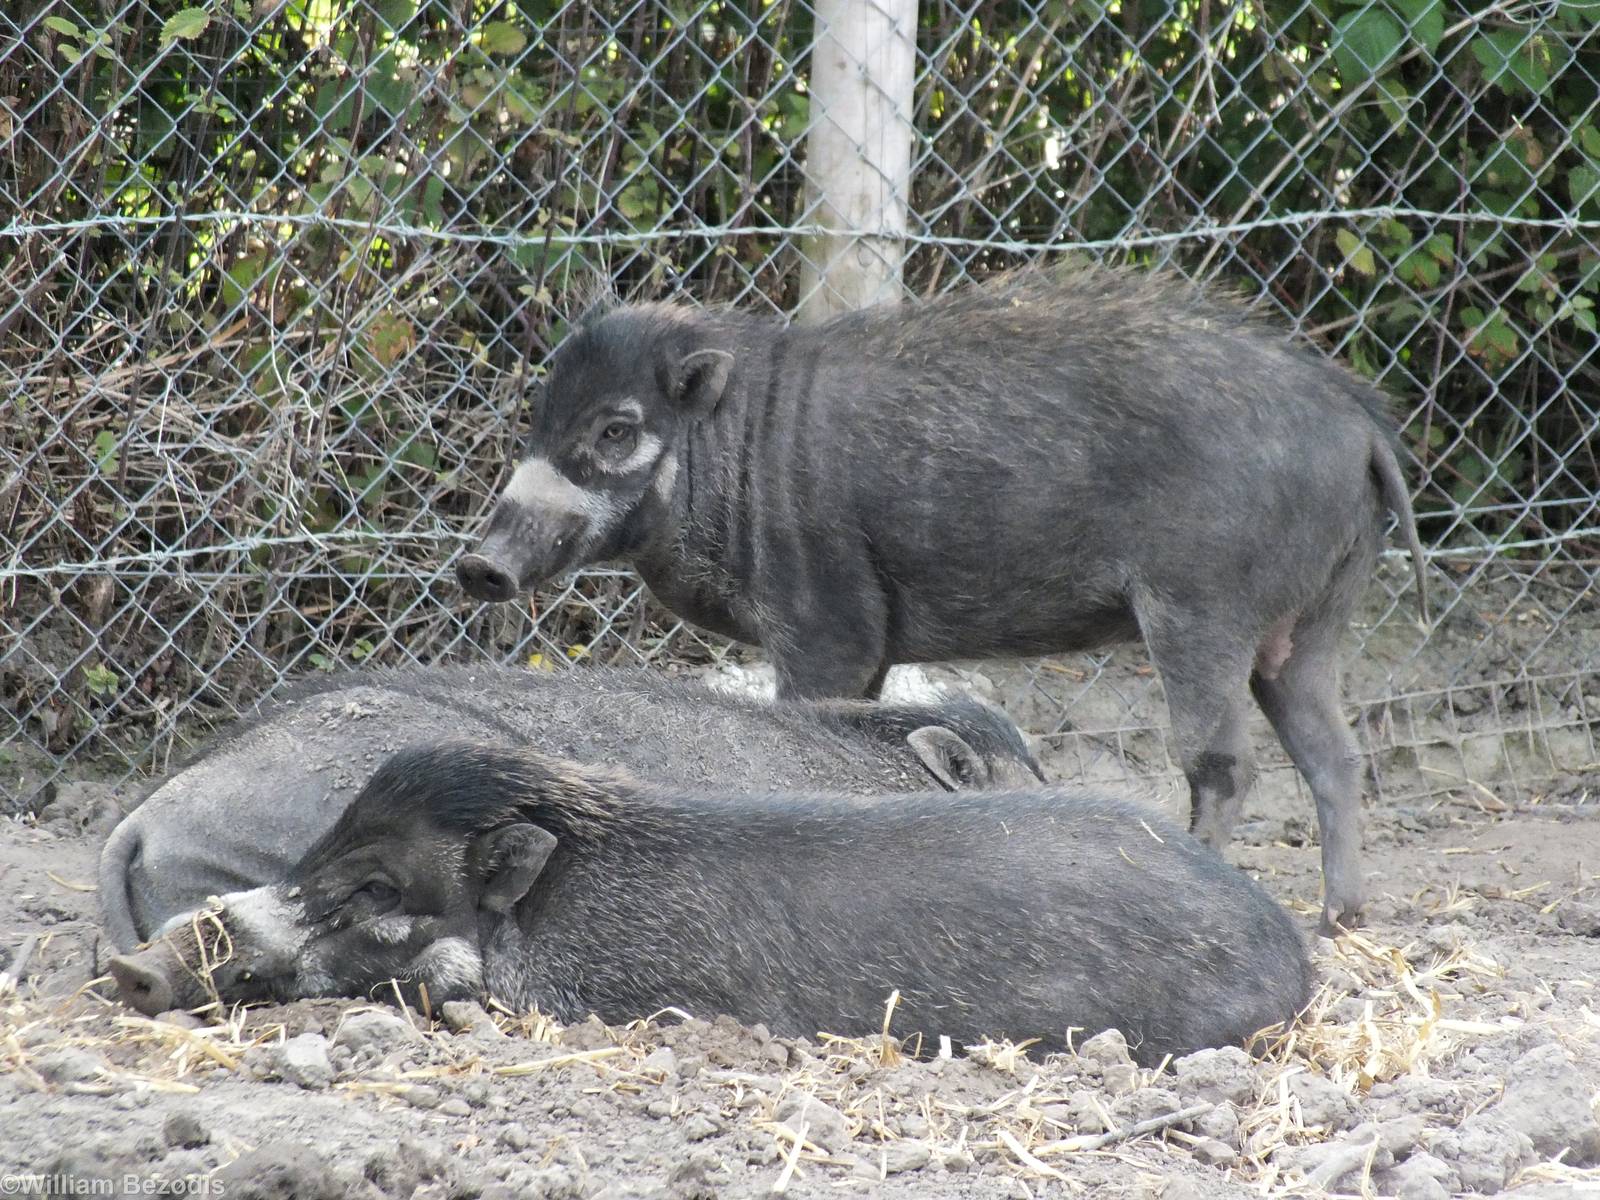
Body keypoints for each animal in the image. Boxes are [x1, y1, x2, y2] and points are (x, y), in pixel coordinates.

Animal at [455, 267, 1430, 934]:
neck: (740, 452)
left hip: (1202, 610)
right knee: (1335, 755)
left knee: (1224, 761)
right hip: (1312, 624)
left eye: (616, 429)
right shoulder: (875, 642)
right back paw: (1342, 920)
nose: (479, 567)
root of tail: (1361, 425)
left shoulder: (828, 622)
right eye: (539, 421)